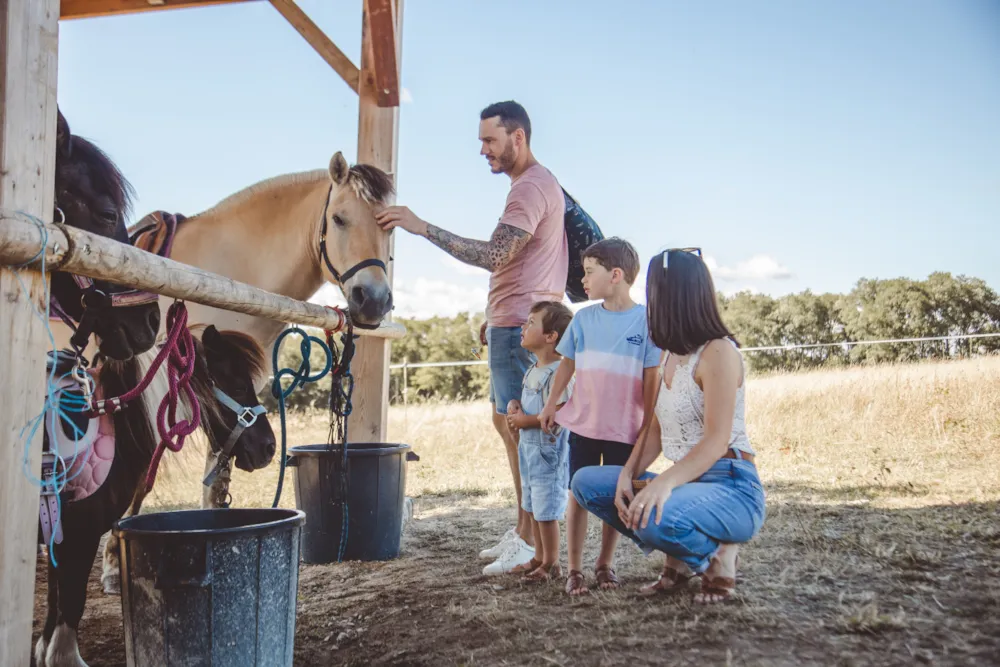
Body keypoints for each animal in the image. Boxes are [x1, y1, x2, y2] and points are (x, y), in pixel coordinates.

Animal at [34, 324, 276, 667]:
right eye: (240, 387)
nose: (269, 447)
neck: (116, 417)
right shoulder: (79, 535)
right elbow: (71, 602)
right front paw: (64, 656)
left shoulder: (59, 535)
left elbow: (55, 601)